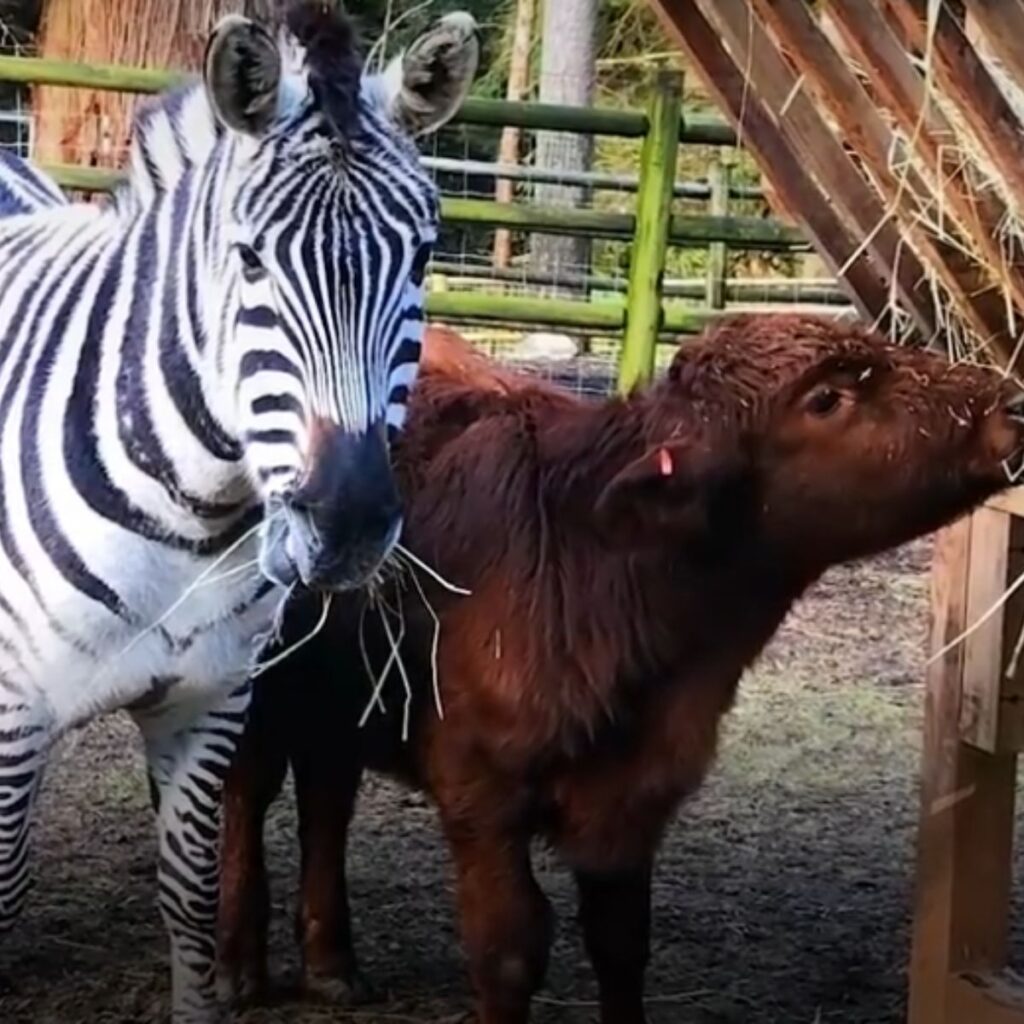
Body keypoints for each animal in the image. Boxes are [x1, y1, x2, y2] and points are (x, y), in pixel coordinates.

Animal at [0, 4, 479, 1019]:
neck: (189, 521)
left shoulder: (209, 705)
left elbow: (190, 895)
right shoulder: (14, 713)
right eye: (250, 259)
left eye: (423, 257)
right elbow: (7, 886)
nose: (348, 525)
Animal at [216, 313, 1024, 1024]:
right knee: (247, 795)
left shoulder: (633, 800)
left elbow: (621, 945)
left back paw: (332, 966)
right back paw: (238, 968)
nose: (1009, 403)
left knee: (327, 793)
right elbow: (508, 949)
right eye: (827, 397)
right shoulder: (482, 792)